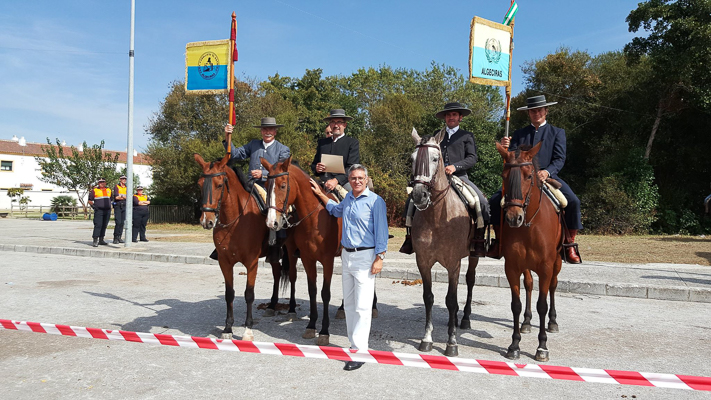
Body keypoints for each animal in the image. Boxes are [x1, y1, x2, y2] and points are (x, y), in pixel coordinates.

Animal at [193, 153, 288, 340]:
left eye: (219, 184)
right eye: (200, 184)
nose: (206, 221)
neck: (236, 221)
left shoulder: (251, 263)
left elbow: (249, 294)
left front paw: (248, 329)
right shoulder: (225, 262)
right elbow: (229, 293)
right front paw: (227, 328)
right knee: (277, 273)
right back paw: (272, 306)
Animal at [262, 155, 342, 346]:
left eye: (283, 185)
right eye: (267, 185)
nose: (271, 222)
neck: (316, 218)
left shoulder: (328, 260)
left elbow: (325, 293)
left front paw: (324, 331)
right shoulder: (307, 258)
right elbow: (312, 290)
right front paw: (311, 326)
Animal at [408, 130, 482, 356]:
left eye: (435, 158)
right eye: (412, 159)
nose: (419, 195)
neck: (437, 217)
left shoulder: (453, 264)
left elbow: (451, 300)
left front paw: (452, 343)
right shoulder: (423, 262)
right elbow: (429, 297)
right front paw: (426, 339)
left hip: (473, 256)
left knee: (470, 282)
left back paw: (464, 319)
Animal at [498, 141, 564, 362]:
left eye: (528, 176)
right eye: (504, 175)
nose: (513, 217)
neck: (529, 225)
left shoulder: (546, 267)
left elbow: (542, 304)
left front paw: (542, 347)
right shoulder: (512, 267)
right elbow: (516, 304)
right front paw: (514, 345)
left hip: (557, 262)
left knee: (553, 286)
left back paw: (553, 322)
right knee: (528, 284)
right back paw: (526, 322)